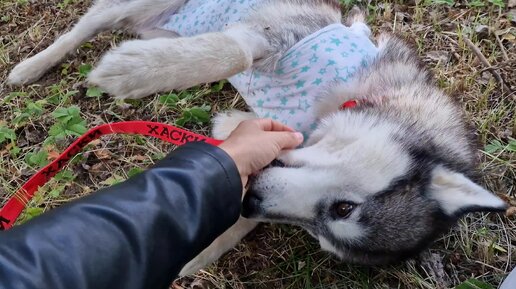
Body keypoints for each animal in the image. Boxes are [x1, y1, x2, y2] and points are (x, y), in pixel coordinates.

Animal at [8, 0, 508, 274]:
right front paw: (134, 72)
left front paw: (198, 248)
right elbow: (232, 52)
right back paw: (31, 66)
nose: (253, 201)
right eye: (345, 208)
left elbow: (234, 194)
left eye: (322, 233)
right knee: (81, 29)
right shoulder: (278, 31)